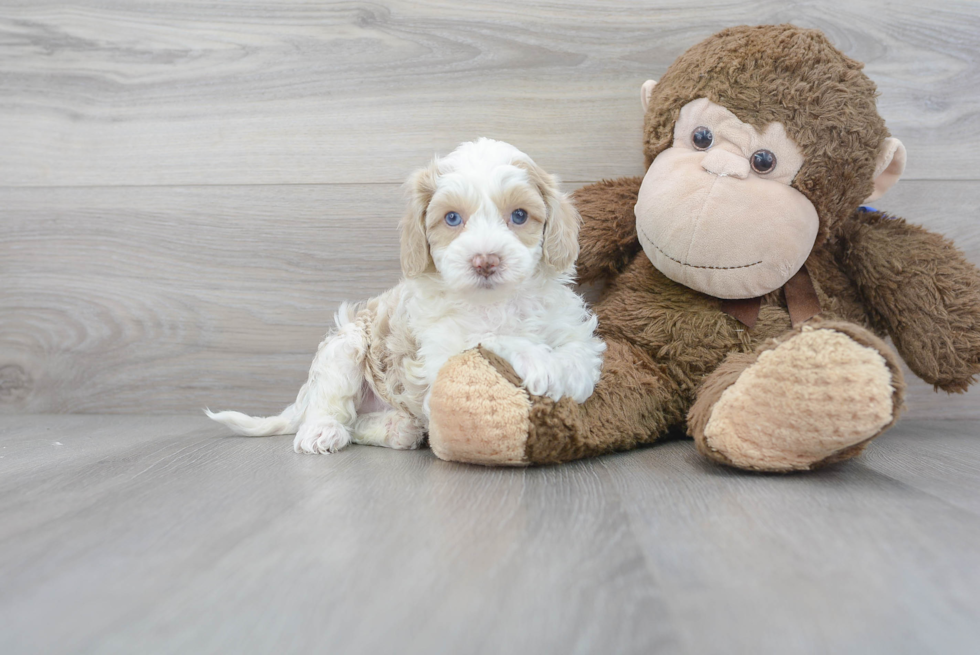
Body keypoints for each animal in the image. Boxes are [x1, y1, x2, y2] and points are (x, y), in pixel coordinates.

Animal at [207, 137, 604, 456]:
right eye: (452, 218)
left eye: (519, 215)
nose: (485, 261)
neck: (494, 303)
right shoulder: (438, 357)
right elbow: (488, 337)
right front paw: (537, 361)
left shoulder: (571, 329)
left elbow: (580, 359)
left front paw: (563, 372)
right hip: (345, 345)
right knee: (333, 409)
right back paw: (324, 430)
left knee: (362, 424)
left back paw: (399, 428)